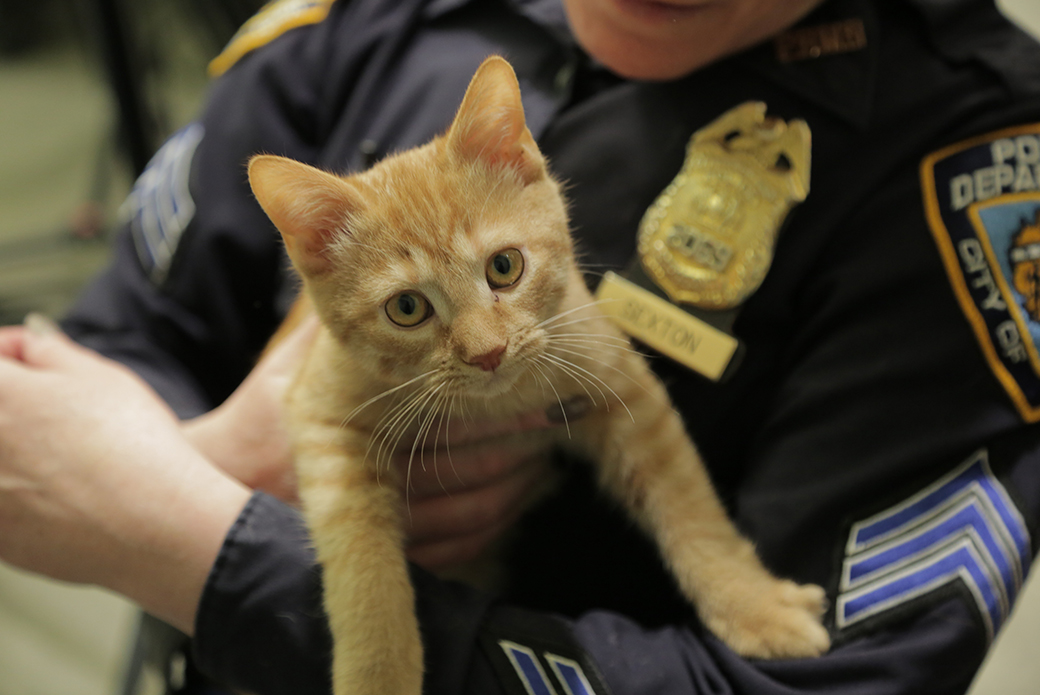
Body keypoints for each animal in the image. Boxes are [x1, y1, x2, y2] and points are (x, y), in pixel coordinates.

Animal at [245, 55, 827, 695]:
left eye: (505, 266)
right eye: (407, 308)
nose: (488, 353)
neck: (493, 404)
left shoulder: (622, 385)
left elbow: (689, 504)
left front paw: (753, 605)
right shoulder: (321, 415)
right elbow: (363, 563)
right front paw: (379, 675)